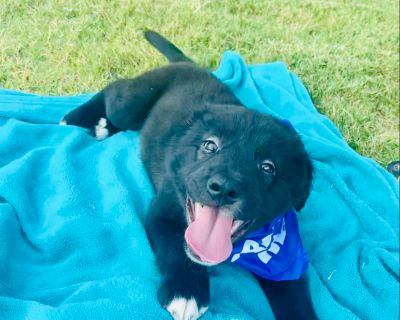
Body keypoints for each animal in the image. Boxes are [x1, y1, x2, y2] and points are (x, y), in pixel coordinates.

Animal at [60, 30, 316, 320]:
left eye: (268, 167)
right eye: (209, 146)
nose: (223, 188)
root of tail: (186, 64)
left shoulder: (288, 266)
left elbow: (295, 297)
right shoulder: (164, 211)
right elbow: (178, 248)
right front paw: (186, 292)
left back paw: (102, 126)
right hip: (131, 103)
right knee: (115, 89)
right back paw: (77, 117)